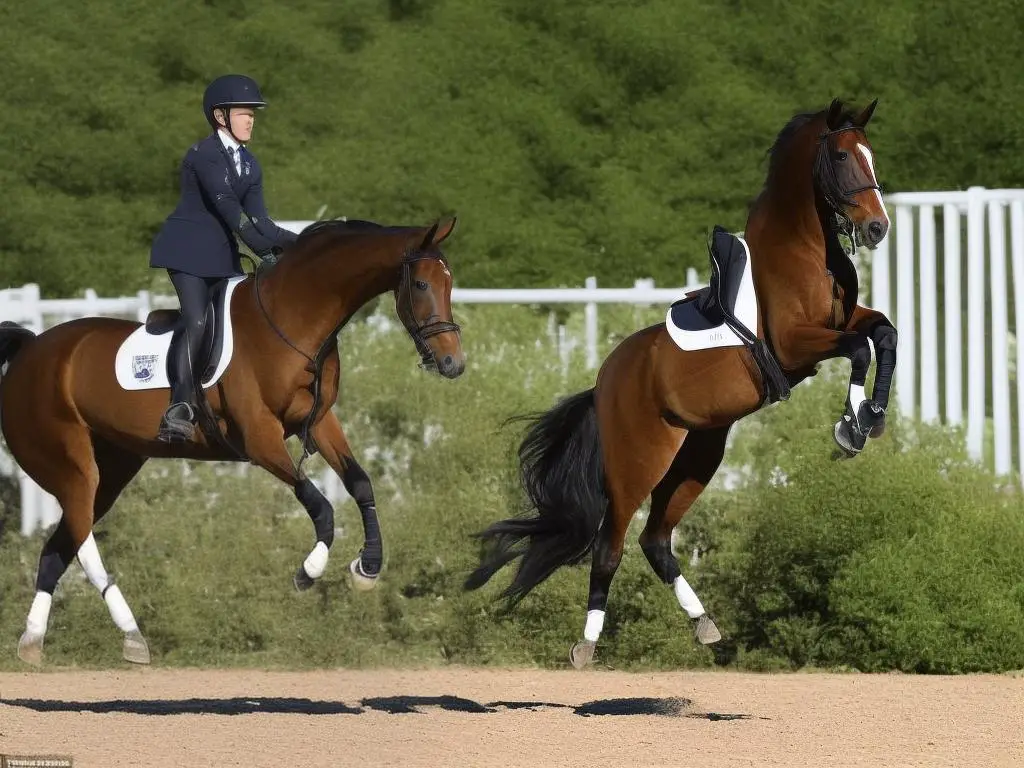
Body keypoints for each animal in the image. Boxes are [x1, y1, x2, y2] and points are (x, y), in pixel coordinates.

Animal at [0, 217, 464, 667]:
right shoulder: (259, 438)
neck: (293, 319)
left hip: (113, 469)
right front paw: (309, 570)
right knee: (81, 542)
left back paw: (34, 640)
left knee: (57, 548)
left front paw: (367, 567)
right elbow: (318, 501)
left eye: (449, 283)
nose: (453, 363)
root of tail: (31, 349)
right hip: (71, 467)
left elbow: (359, 483)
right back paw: (131, 633)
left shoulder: (317, 422)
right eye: (421, 285)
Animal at [468, 99, 901, 671]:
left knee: (656, 539)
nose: (876, 227)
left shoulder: (845, 320)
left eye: (871, 152)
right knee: (611, 544)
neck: (805, 249)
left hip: (696, 456)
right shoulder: (795, 344)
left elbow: (884, 334)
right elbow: (859, 348)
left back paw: (704, 624)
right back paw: (587, 644)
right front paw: (851, 427)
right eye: (840, 157)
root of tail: (605, 381)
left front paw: (871, 416)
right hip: (637, 465)